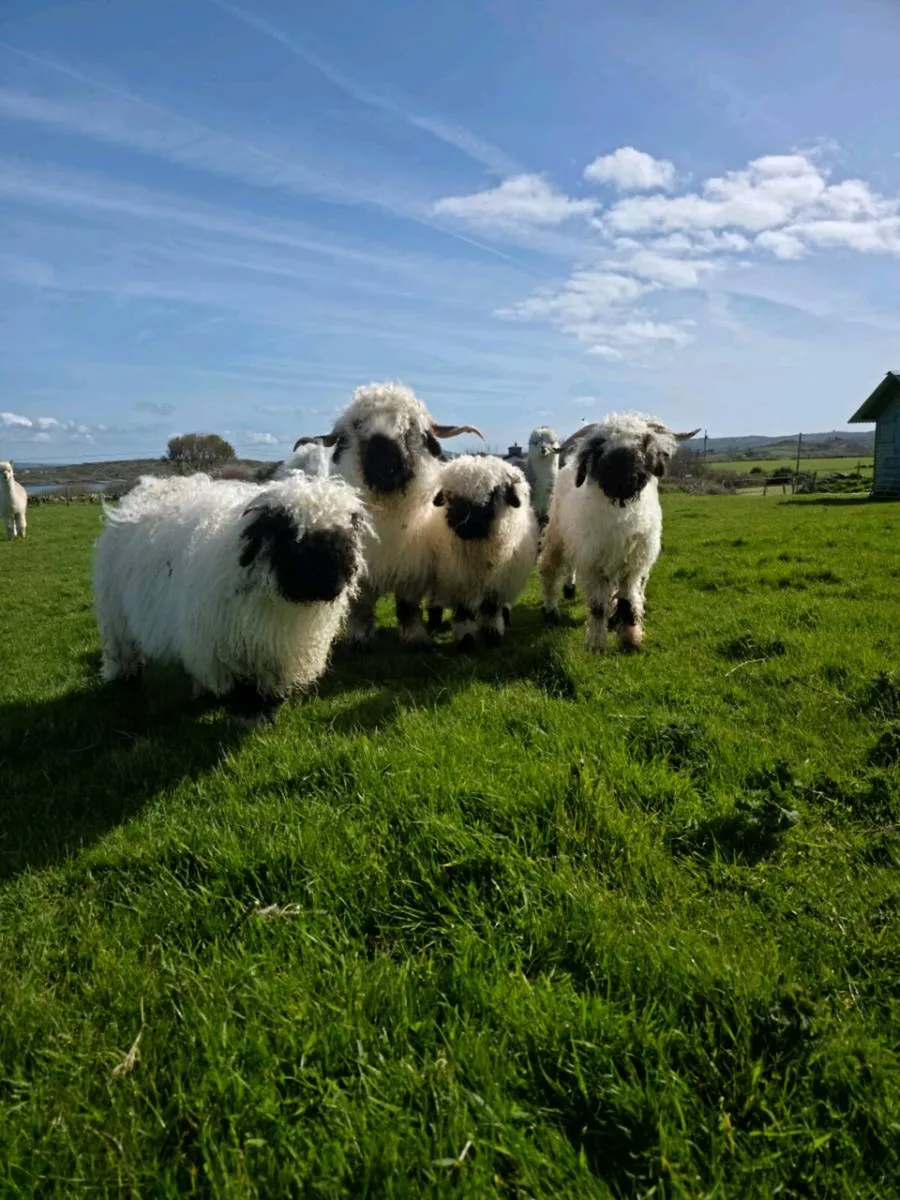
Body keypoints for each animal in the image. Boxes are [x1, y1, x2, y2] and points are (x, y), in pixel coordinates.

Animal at [93, 471, 370, 725]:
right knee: (121, 649)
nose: (333, 586)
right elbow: (242, 687)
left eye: (344, 541)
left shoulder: (275, 651)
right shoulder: (226, 648)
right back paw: (123, 678)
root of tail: (145, 489)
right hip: (115, 614)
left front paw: (265, 713)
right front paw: (249, 716)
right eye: (294, 539)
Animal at [293, 381, 483, 648]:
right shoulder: (361, 571)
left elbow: (407, 606)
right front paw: (359, 638)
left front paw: (416, 637)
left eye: (410, 426)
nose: (384, 460)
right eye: (357, 425)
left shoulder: (414, 568)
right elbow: (361, 606)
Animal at [424, 455, 539, 648]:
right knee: (434, 598)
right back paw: (434, 619)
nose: (464, 524)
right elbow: (463, 612)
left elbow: (491, 610)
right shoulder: (460, 581)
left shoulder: (496, 584)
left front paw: (493, 635)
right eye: (450, 496)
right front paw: (466, 640)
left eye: (493, 493)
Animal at [539, 412, 698, 651]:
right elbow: (598, 607)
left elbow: (628, 601)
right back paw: (551, 607)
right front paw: (596, 644)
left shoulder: (633, 565)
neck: (620, 514)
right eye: (601, 445)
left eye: (643, 443)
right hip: (558, 534)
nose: (624, 480)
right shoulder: (594, 562)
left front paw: (631, 638)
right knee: (549, 569)